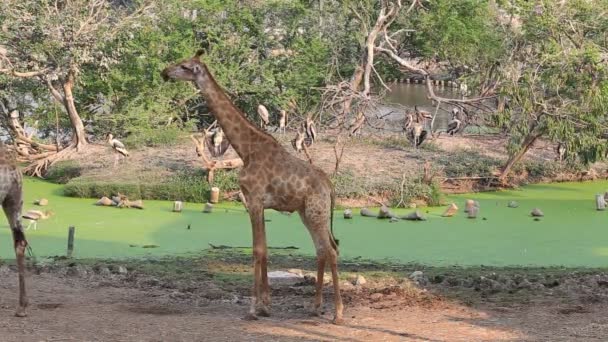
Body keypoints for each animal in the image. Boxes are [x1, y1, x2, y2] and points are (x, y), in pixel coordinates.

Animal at [159, 50, 344, 324]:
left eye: (184, 66)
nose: (164, 73)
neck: (245, 149)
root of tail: (329, 187)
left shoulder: (254, 200)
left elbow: (258, 250)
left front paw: (254, 309)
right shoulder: (255, 202)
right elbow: (263, 249)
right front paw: (266, 306)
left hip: (315, 211)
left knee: (331, 250)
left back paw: (338, 313)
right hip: (306, 213)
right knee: (322, 249)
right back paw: (315, 307)